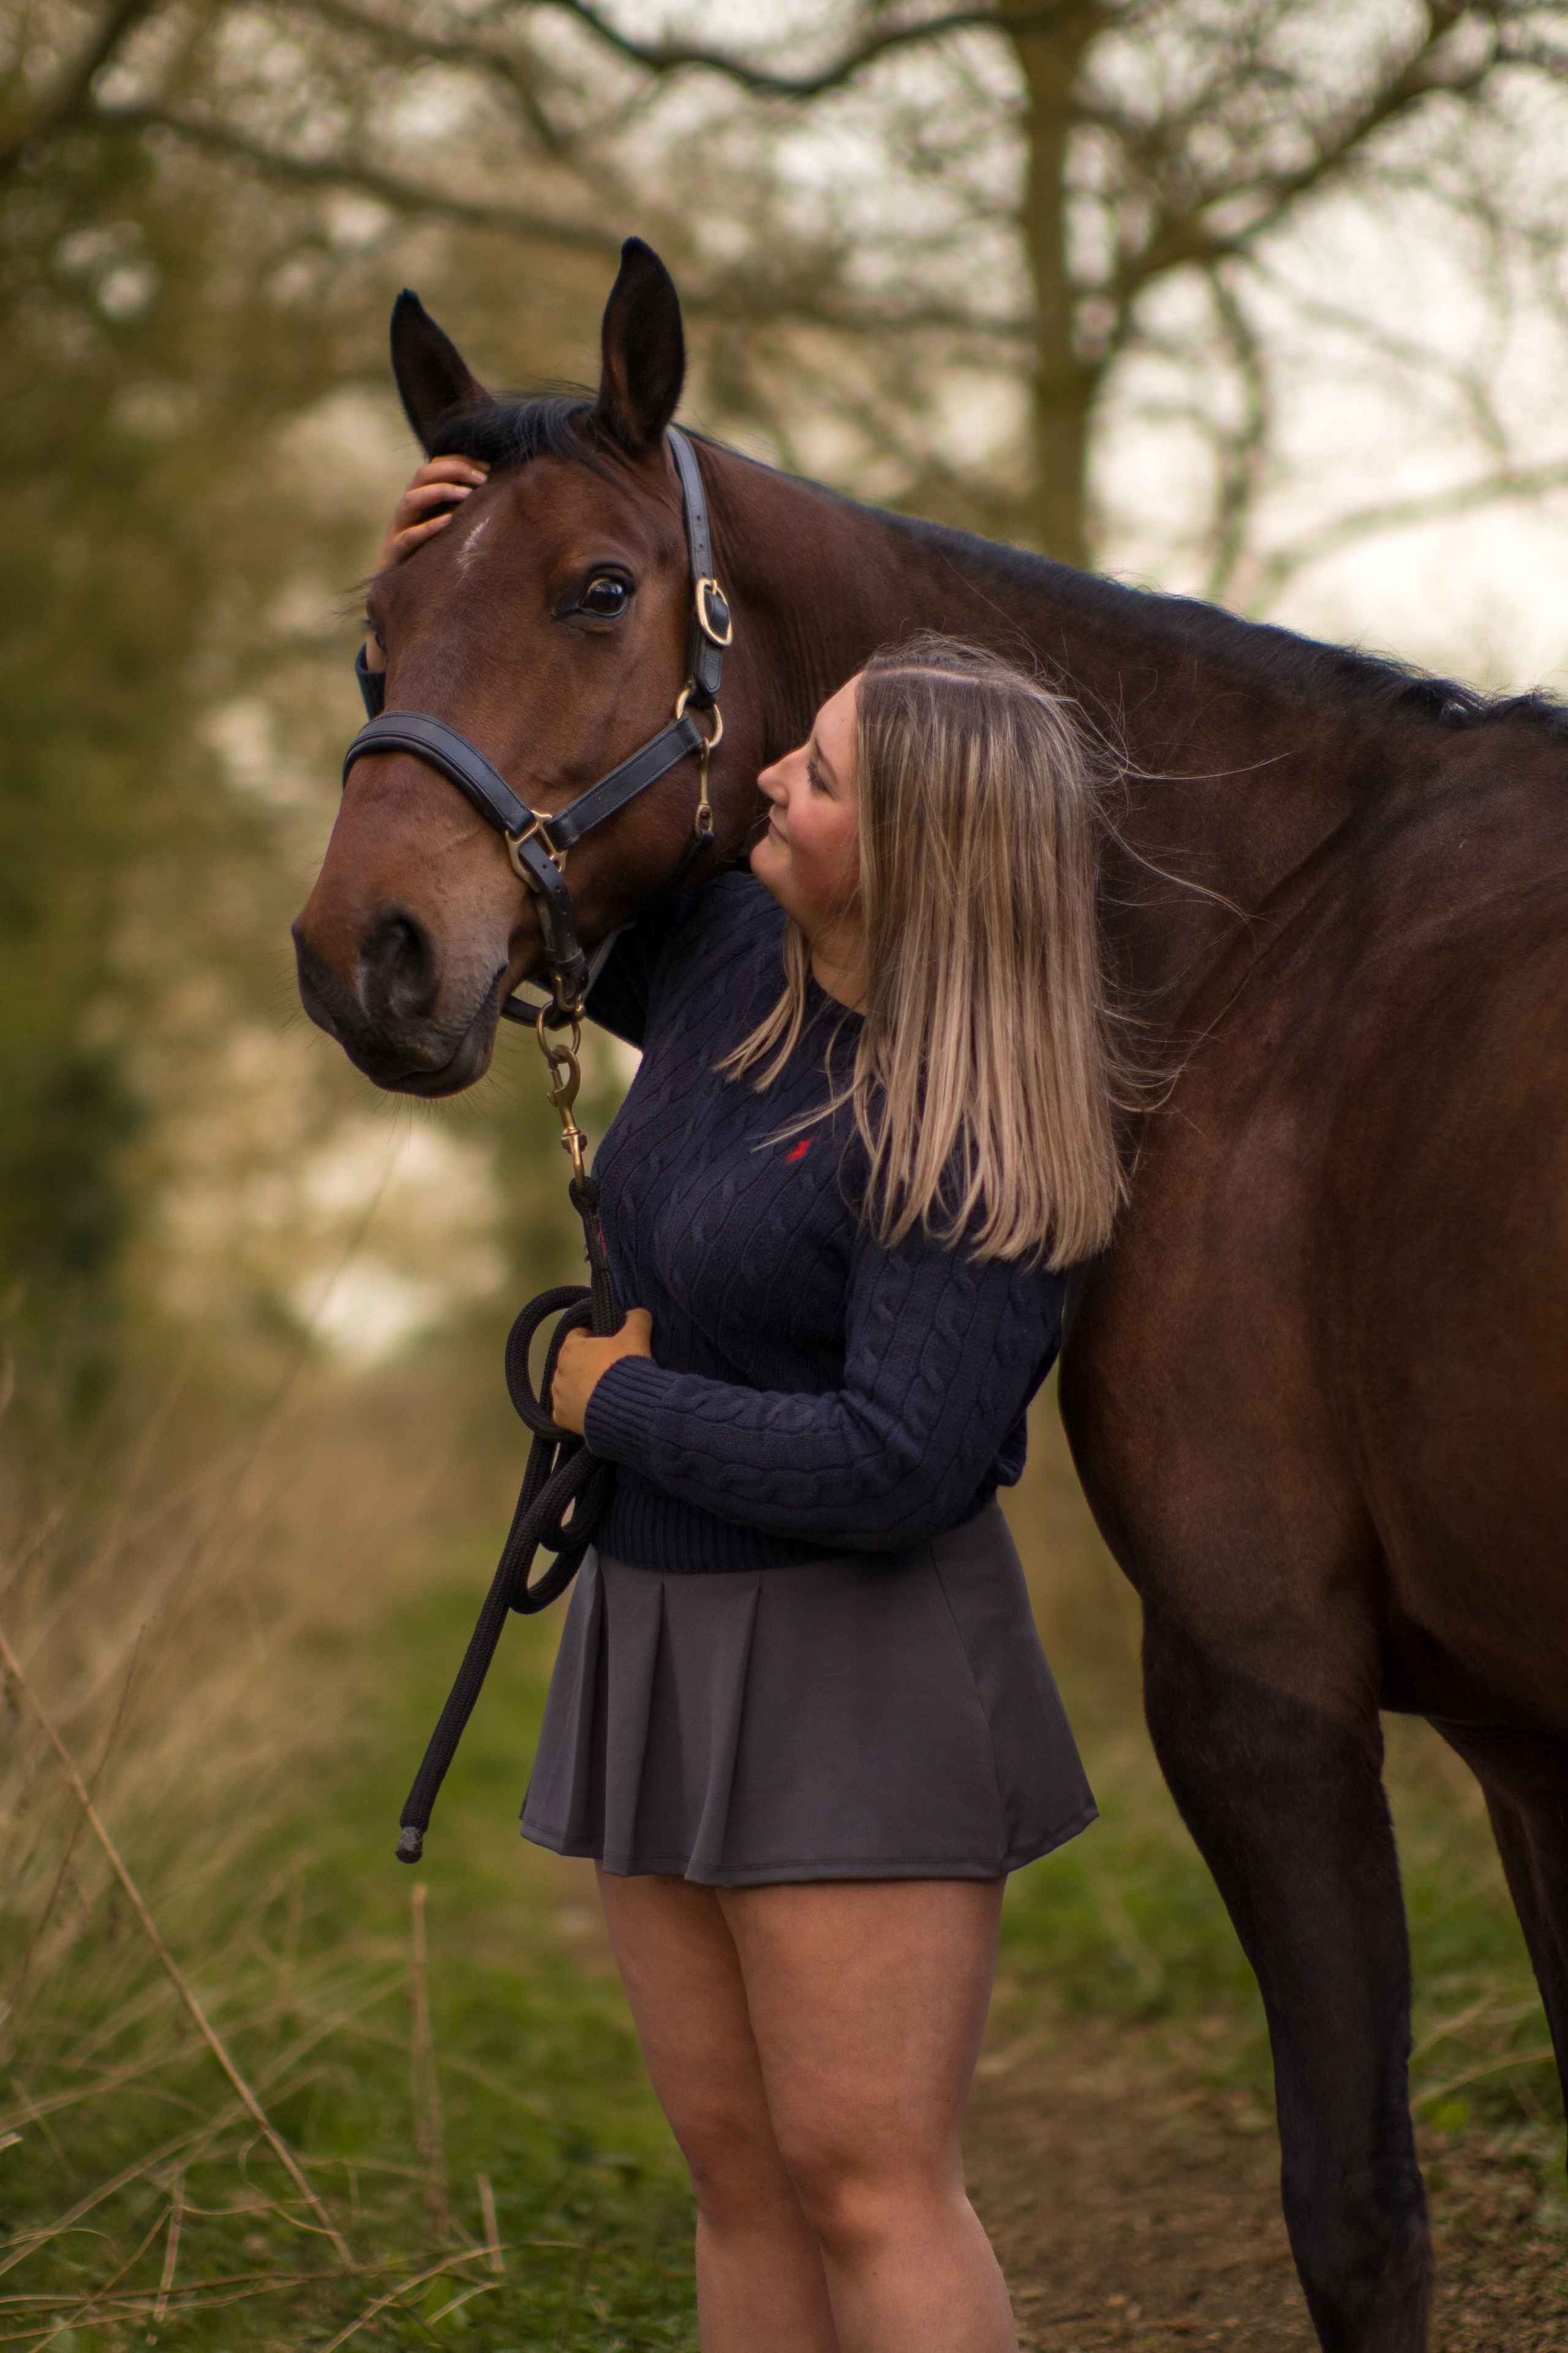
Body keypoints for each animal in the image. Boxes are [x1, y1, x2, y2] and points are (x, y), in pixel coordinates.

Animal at [293, 237, 1568, 2353]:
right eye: (379, 627)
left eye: (600, 589)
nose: (361, 955)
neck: (1266, 922)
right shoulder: (1523, 1734)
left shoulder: (1261, 1680)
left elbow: (1354, 2209)